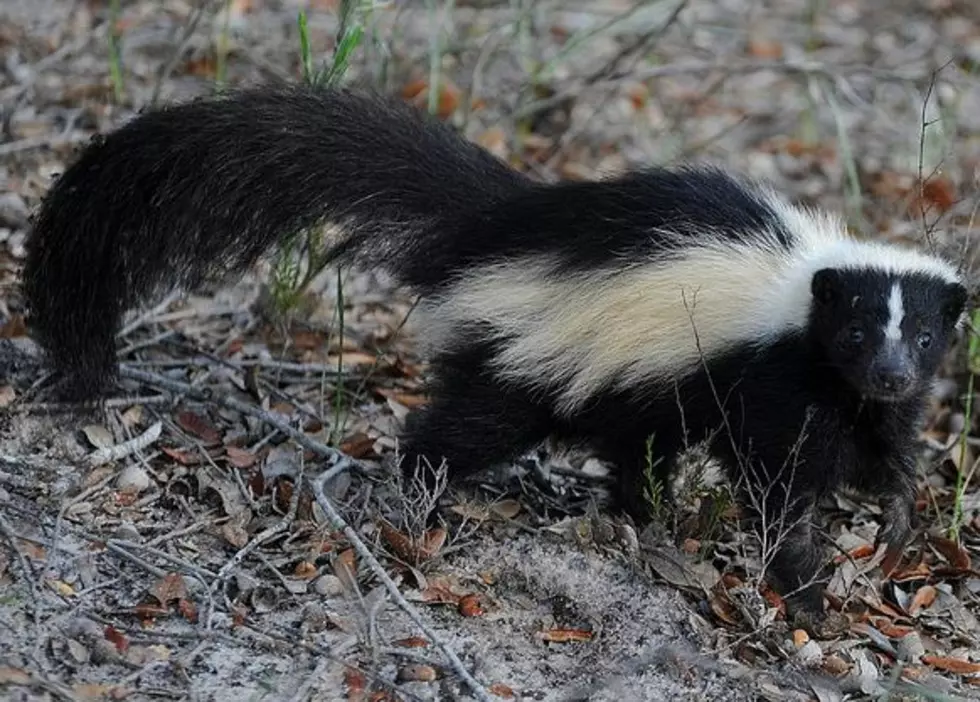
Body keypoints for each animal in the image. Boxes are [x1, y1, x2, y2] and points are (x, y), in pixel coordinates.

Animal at [21, 86, 964, 620]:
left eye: (924, 337)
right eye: (853, 332)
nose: (889, 371)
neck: (798, 288)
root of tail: (492, 232)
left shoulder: (859, 399)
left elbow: (887, 452)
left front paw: (895, 520)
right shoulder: (775, 376)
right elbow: (779, 490)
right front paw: (806, 595)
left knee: (636, 448)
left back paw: (639, 515)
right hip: (523, 352)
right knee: (461, 427)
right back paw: (418, 498)